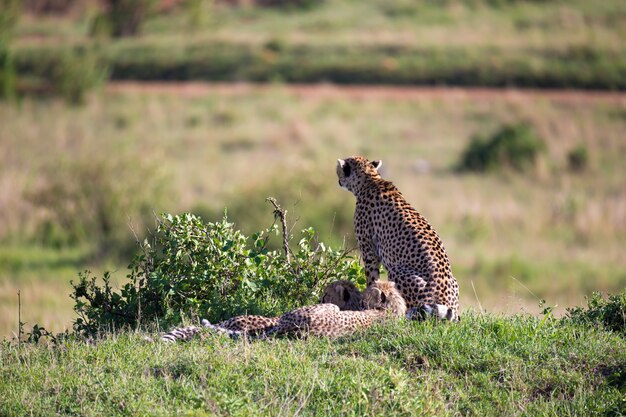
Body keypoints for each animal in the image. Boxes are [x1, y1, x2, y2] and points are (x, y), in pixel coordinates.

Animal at [336, 154, 458, 320]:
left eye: (339, 171)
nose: (338, 180)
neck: (371, 179)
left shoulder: (369, 251)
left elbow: (372, 278)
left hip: (397, 271)